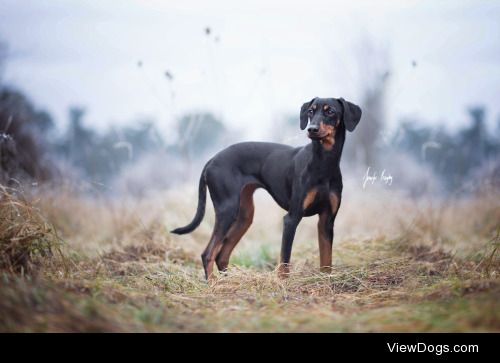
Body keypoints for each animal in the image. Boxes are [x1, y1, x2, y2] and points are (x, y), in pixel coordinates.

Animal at [172, 98, 360, 280]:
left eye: (331, 111)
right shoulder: (291, 219)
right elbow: (284, 261)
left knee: (222, 255)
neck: (323, 162)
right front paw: (283, 284)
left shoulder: (327, 221)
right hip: (227, 211)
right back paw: (213, 285)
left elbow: (326, 261)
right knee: (208, 254)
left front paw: (326, 281)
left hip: (245, 216)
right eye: (310, 111)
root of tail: (211, 160)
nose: (311, 129)